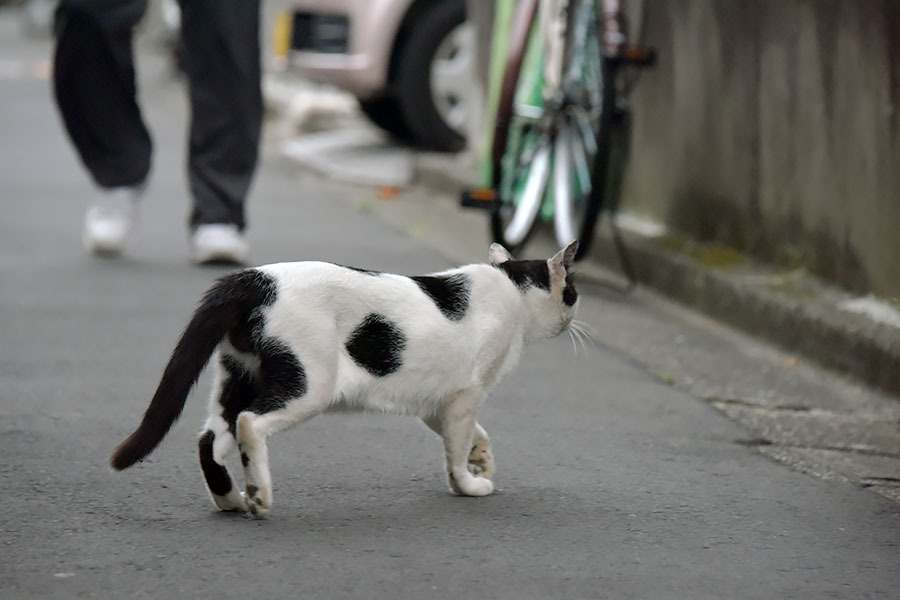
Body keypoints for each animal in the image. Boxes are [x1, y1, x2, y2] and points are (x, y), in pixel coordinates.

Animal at [112, 241, 580, 516]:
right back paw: (259, 494)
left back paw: (230, 499)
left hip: (238, 376)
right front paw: (468, 483)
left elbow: (470, 436)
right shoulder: (466, 394)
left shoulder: (437, 400)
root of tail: (255, 278)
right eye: (573, 293)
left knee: (210, 438)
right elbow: (457, 448)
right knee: (249, 423)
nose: (573, 317)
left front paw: (481, 458)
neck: (511, 290)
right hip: (307, 385)